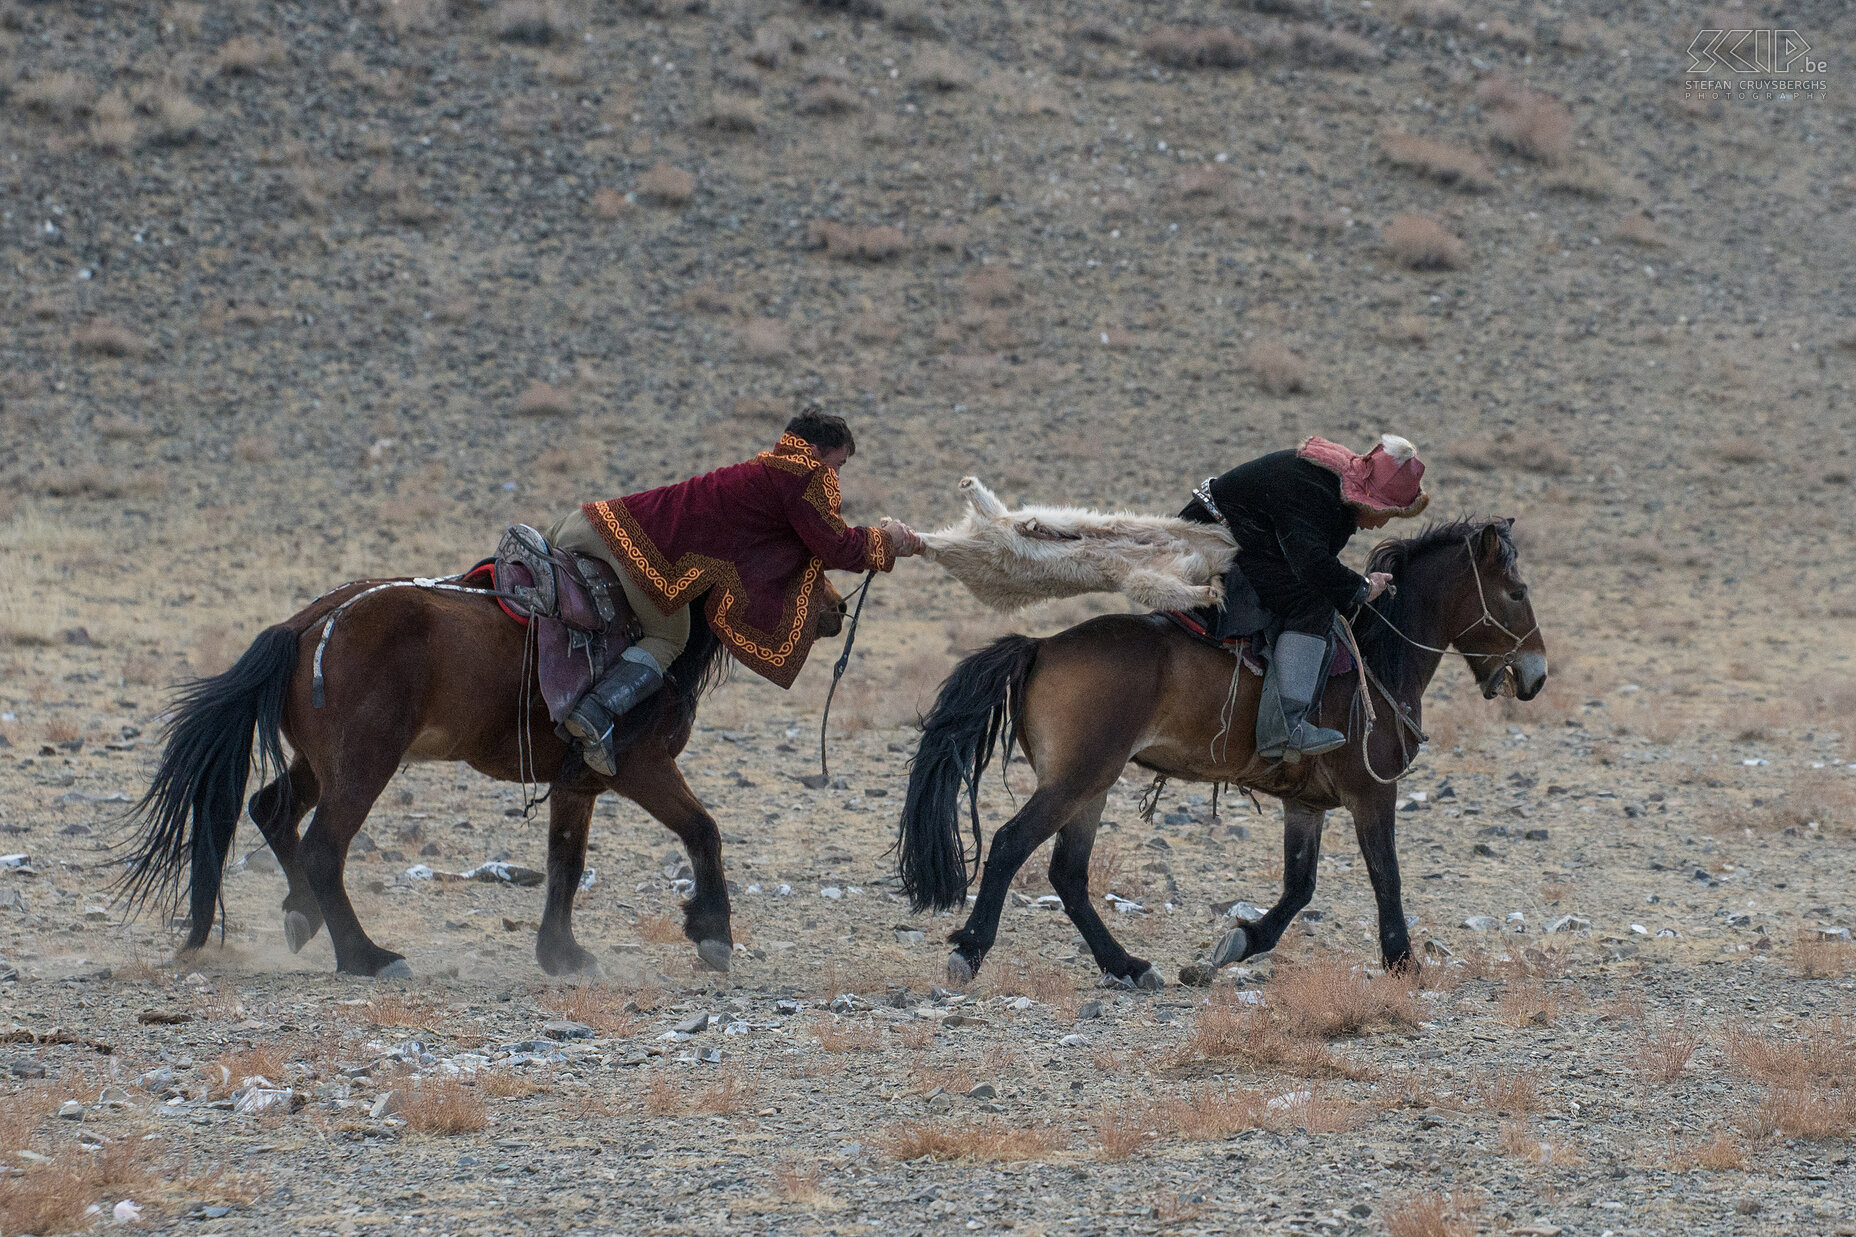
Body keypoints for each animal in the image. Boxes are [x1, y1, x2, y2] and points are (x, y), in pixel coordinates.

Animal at [116, 572, 842, 980]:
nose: (836, 608)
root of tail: (304, 627)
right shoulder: (641, 767)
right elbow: (703, 830)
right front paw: (713, 932)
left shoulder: (578, 784)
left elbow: (565, 864)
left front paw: (563, 956)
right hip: (363, 766)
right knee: (322, 847)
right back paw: (368, 957)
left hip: (323, 763)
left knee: (271, 809)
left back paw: (303, 915)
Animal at [898, 516, 1551, 988]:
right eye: (1516, 592)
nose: (1535, 675)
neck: (1375, 659)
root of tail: (1040, 646)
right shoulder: (1373, 792)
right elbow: (1385, 876)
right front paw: (1402, 962)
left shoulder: (1306, 805)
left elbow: (1299, 886)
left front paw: (1238, 943)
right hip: (1074, 783)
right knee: (1012, 846)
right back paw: (969, 953)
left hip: (1091, 787)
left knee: (1069, 875)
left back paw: (1128, 966)